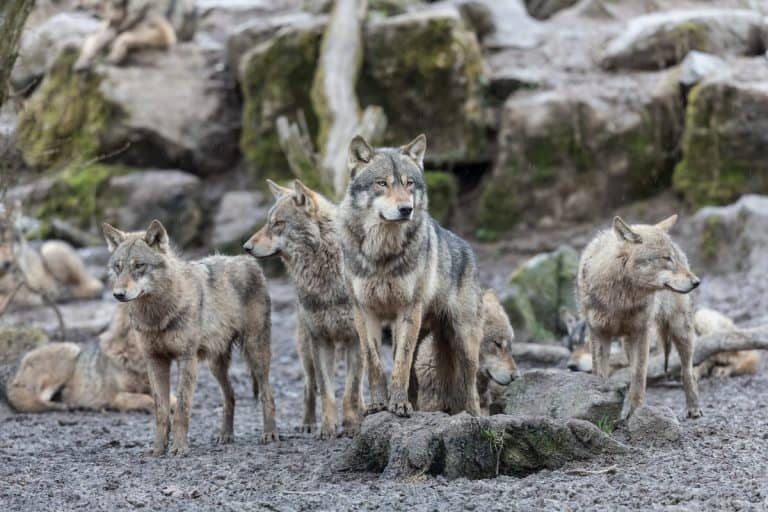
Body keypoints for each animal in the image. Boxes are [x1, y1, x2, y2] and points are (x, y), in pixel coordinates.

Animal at [102, 219, 277, 456]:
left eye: (139, 266)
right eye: (118, 267)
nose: (118, 294)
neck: (157, 315)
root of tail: (248, 260)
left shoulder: (186, 359)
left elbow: (182, 409)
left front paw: (178, 448)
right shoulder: (155, 361)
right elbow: (161, 411)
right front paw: (158, 449)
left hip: (255, 353)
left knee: (268, 393)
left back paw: (270, 434)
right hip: (215, 365)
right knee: (230, 396)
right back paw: (225, 435)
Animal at [243, 179, 363, 439]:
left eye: (278, 223)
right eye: (268, 222)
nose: (246, 247)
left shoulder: (356, 339)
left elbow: (351, 390)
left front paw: (351, 426)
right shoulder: (320, 339)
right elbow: (326, 392)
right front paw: (327, 428)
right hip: (306, 348)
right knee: (310, 385)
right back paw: (308, 423)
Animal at [339, 134, 483, 417]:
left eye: (409, 183)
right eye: (382, 183)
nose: (406, 209)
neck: (382, 254)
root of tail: (468, 249)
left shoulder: (407, 310)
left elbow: (400, 363)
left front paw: (397, 404)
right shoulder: (364, 311)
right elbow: (374, 362)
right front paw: (378, 404)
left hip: (463, 343)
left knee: (470, 388)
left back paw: (473, 417)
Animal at [578, 214, 702, 420]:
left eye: (674, 258)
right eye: (666, 258)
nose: (697, 282)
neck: (621, 300)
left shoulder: (642, 332)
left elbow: (638, 375)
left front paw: (635, 410)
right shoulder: (598, 333)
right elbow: (600, 373)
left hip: (681, 331)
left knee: (687, 371)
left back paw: (693, 407)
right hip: (628, 343)